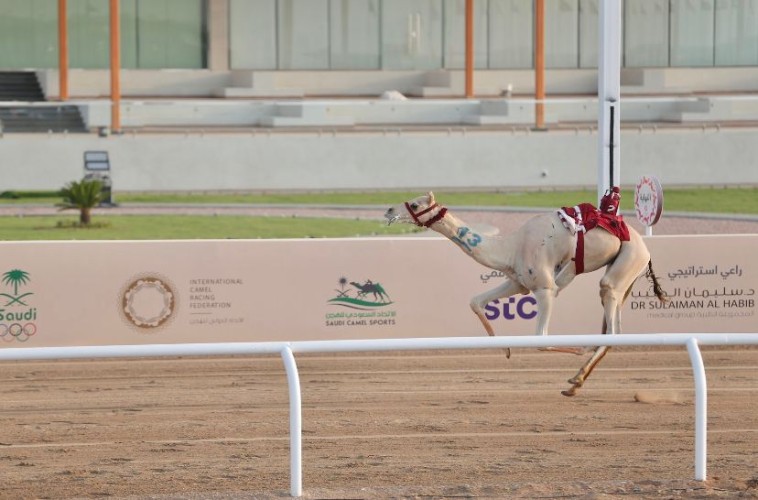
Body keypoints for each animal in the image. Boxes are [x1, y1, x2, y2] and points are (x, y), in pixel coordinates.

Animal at [386, 193, 664, 396]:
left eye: (414, 203)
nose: (388, 210)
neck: (511, 247)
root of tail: (645, 248)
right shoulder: (518, 283)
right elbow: (475, 301)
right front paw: (507, 350)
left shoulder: (545, 288)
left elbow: (540, 339)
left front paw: (578, 349)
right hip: (624, 276)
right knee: (613, 327)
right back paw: (576, 381)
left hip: (626, 262)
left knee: (611, 322)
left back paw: (576, 378)